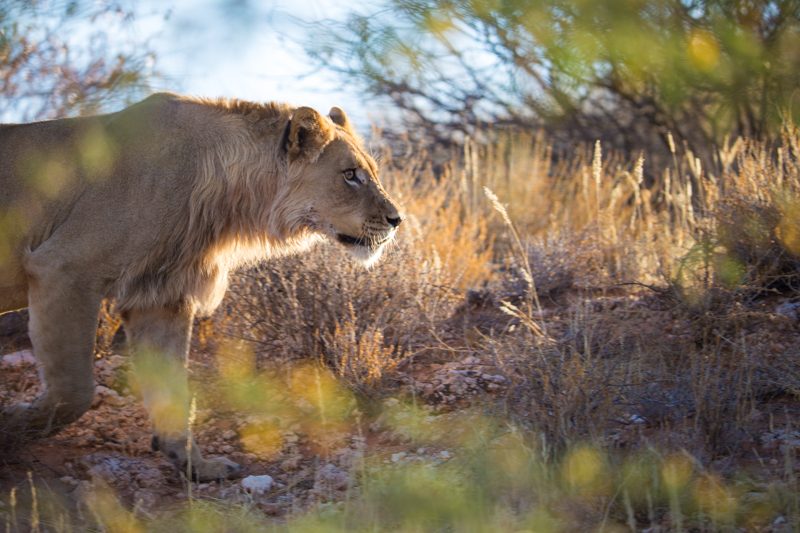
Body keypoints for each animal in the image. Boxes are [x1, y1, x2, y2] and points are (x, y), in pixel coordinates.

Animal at [0, 93, 400, 480]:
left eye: (372, 172)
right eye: (350, 175)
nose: (397, 219)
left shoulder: (162, 298)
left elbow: (172, 389)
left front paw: (196, 465)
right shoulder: (63, 268)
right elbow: (75, 390)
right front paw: (11, 427)